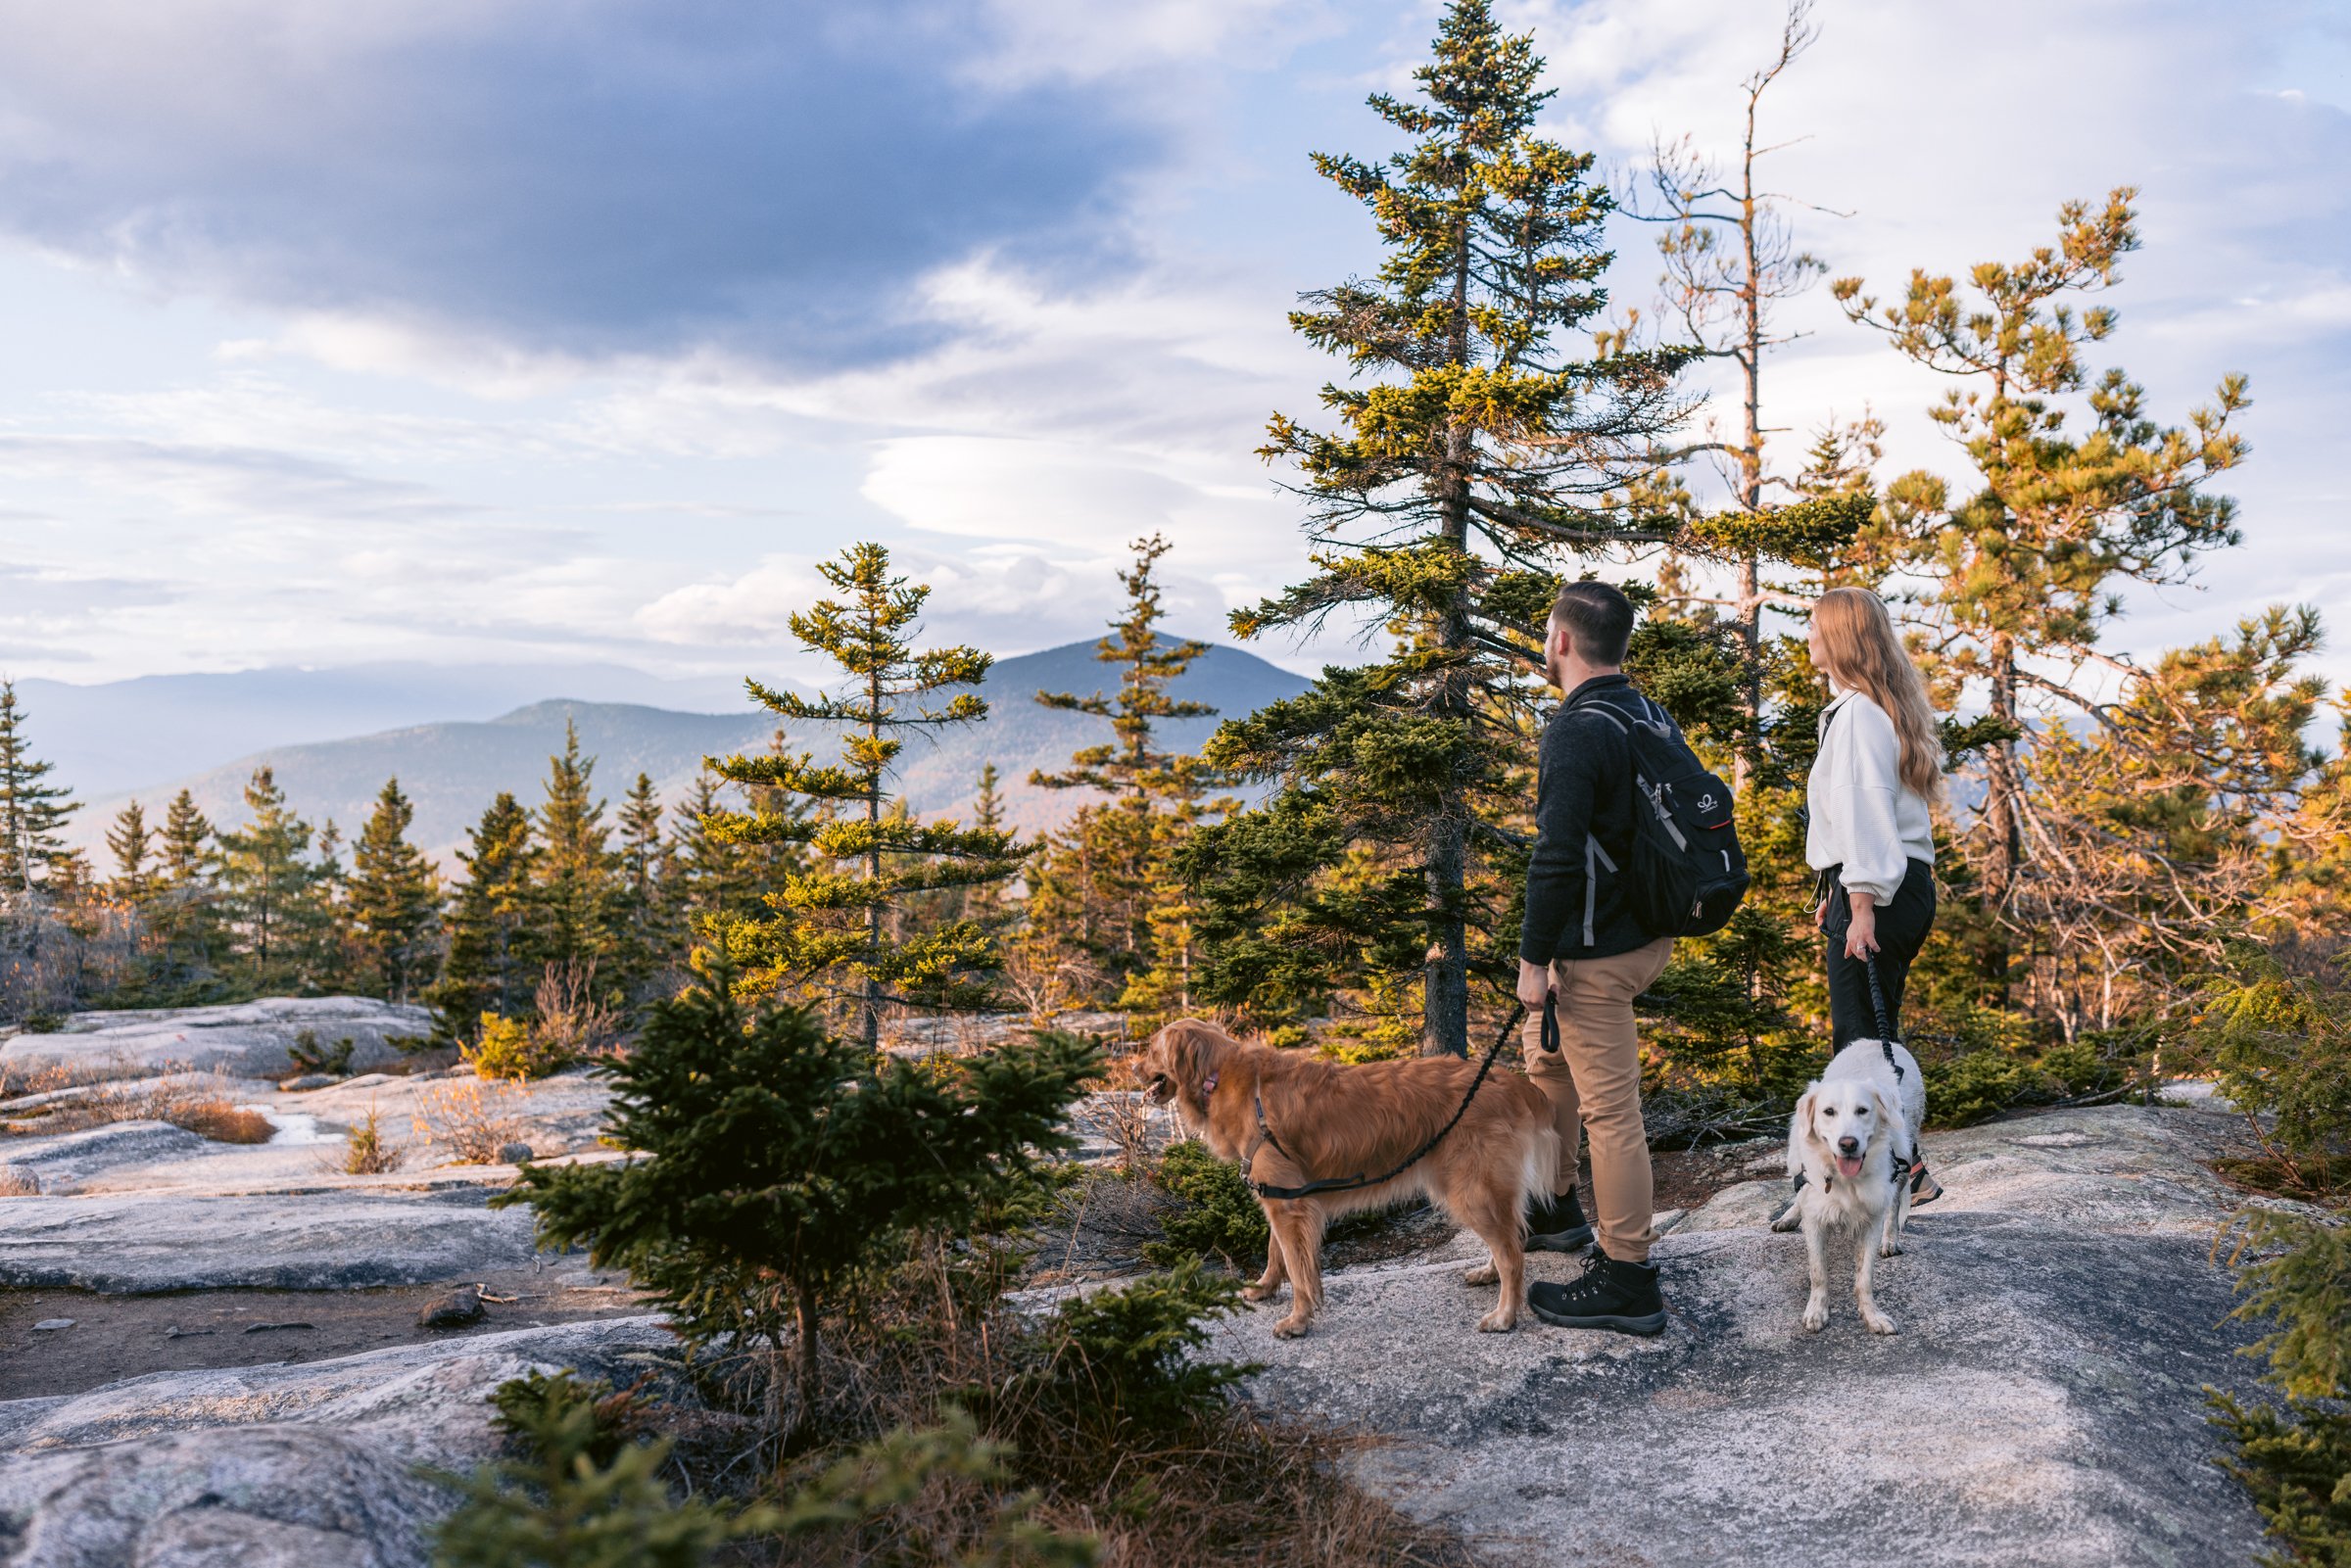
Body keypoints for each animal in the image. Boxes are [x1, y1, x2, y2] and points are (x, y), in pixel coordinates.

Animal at [1767, 1043, 1918, 1335]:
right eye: (1829, 1112)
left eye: (1862, 1110)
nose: (1848, 1143)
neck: (1845, 1179)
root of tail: (1873, 1040)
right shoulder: (1815, 1218)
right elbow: (1818, 1272)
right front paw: (1817, 1311)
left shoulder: (1871, 1218)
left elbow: (1865, 1276)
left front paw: (1872, 1316)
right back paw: (1788, 1217)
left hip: (1905, 1150)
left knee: (1894, 1204)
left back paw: (1890, 1240)